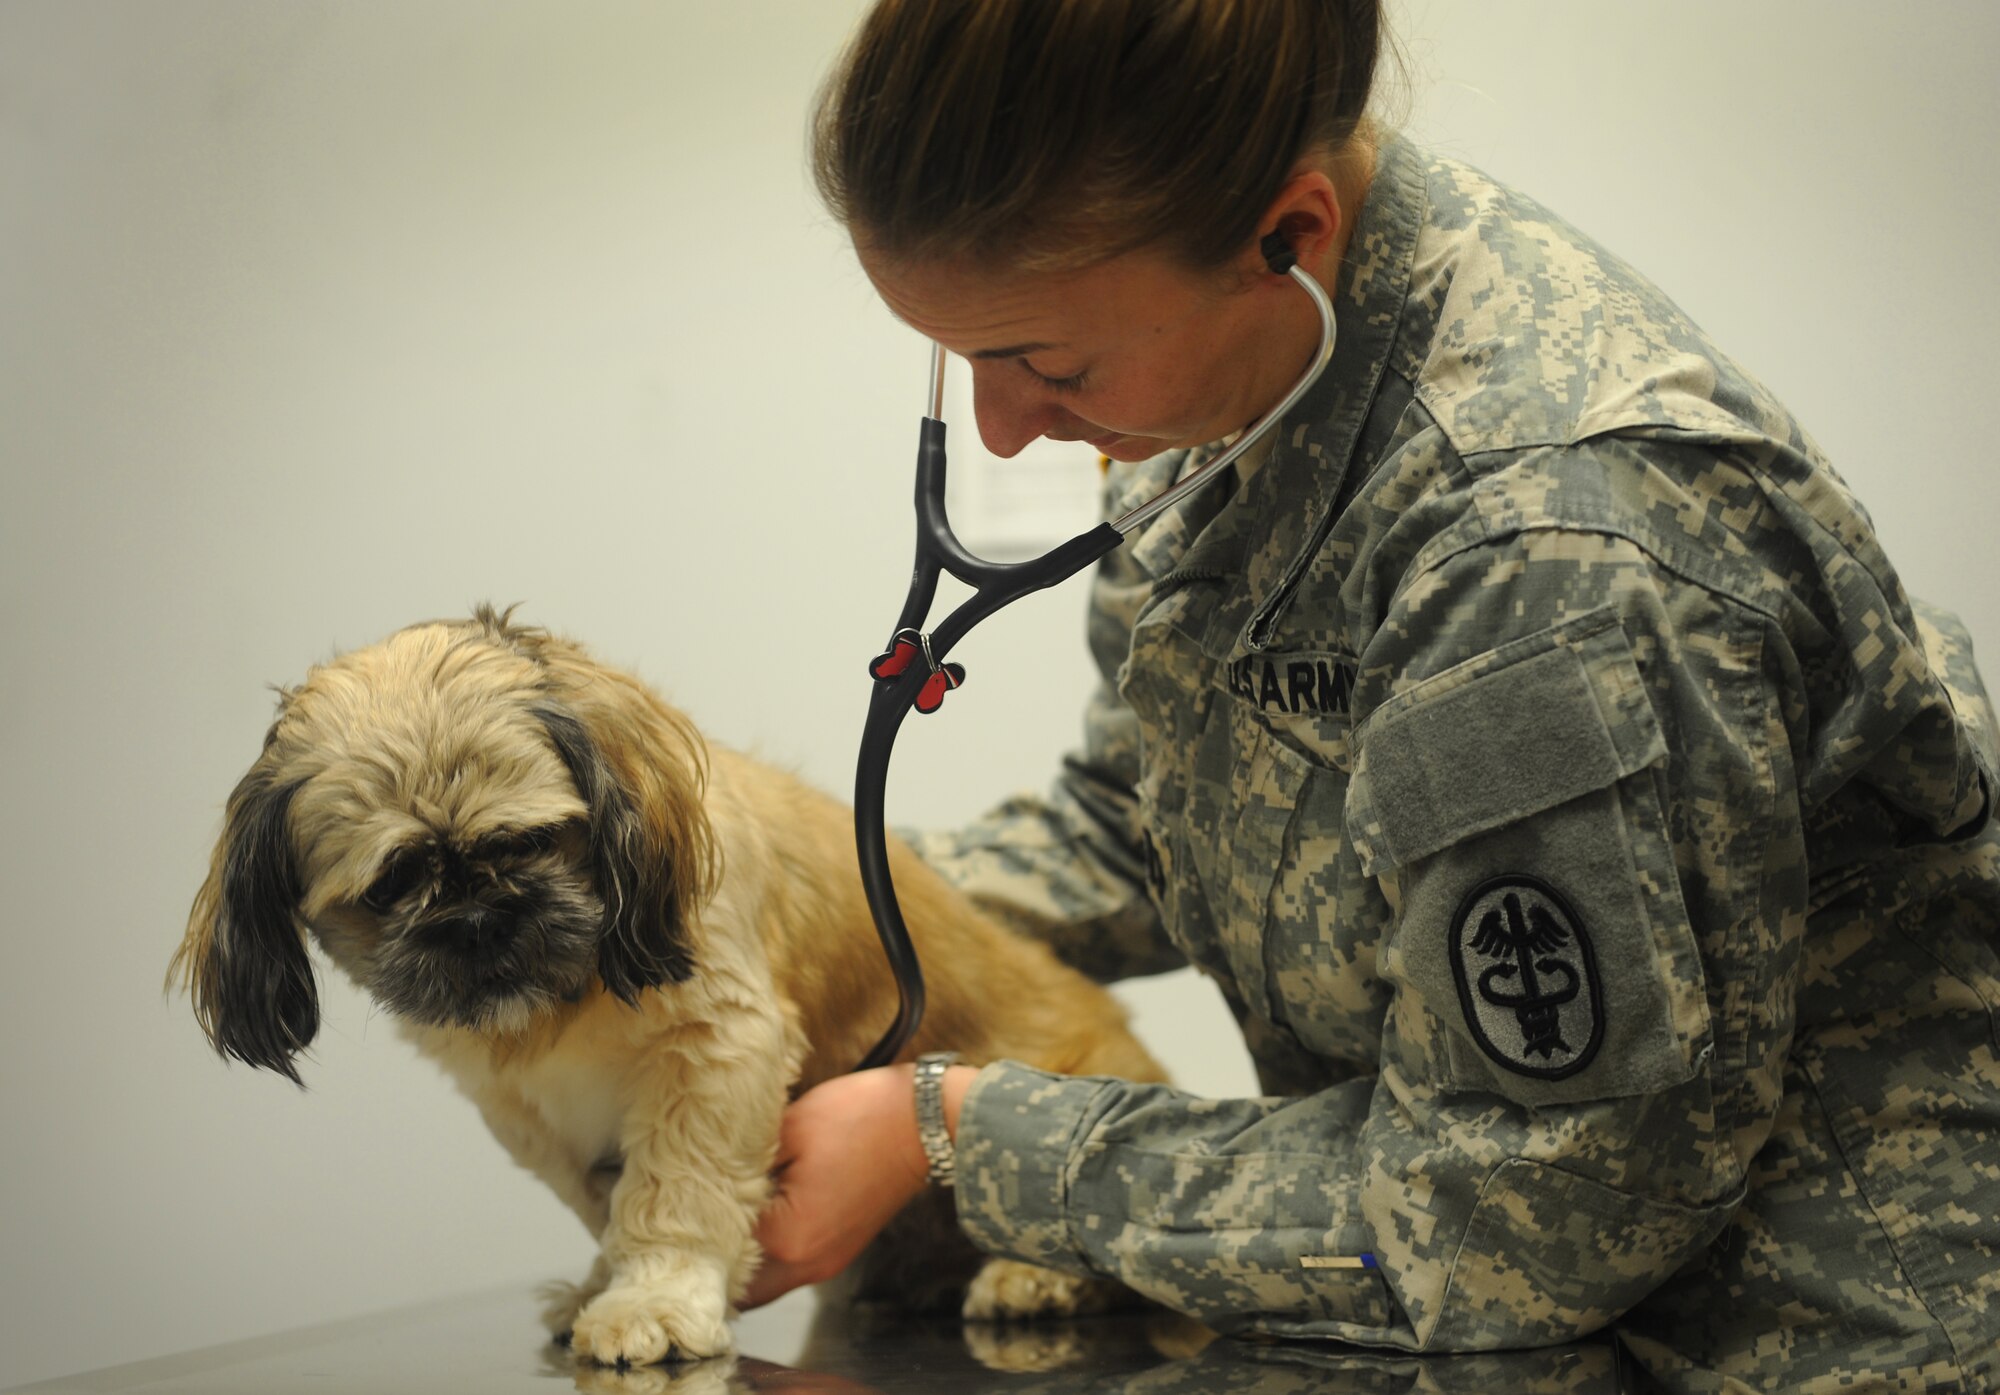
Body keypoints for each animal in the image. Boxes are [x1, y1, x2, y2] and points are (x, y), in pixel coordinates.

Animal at [176, 603, 1168, 1367]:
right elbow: (608, 1203)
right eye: (393, 884)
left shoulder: (718, 1046)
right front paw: (603, 1286)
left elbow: (675, 1188)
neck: (563, 1002)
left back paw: (1033, 1275)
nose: (481, 916)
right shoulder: (533, 1118)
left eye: (530, 841)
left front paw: (655, 1299)